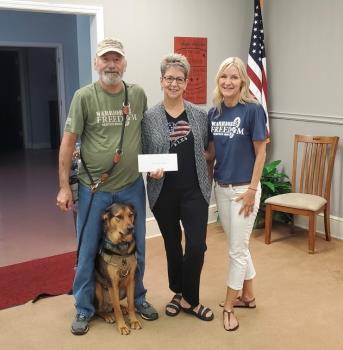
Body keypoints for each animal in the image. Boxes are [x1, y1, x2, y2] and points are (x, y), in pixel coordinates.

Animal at [94, 202, 142, 334]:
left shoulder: (131, 280)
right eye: (118, 217)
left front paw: (133, 321)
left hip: (123, 290)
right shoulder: (112, 283)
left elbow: (131, 303)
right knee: (100, 310)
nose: (131, 228)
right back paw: (108, 316)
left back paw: (122, 308)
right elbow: (117, 310)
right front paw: (122, 326)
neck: (122, 247)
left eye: (131, 215)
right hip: (98, 292)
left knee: (113, 305)